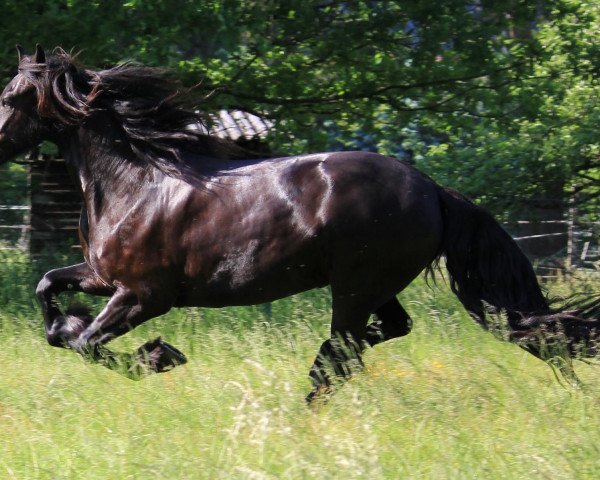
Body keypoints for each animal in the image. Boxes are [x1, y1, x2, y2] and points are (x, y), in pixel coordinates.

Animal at [0, 45, 596, 400]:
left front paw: (159, 356)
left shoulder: (145, 295)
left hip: (356, 284)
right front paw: (68, 322)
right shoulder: (105, 277)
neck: (135, 182)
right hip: (372, 285)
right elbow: (48, 290)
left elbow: (88, 345)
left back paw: (305, 399)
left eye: (11, 97)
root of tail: (431, 189)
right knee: (382, 333)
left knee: (348, 348)